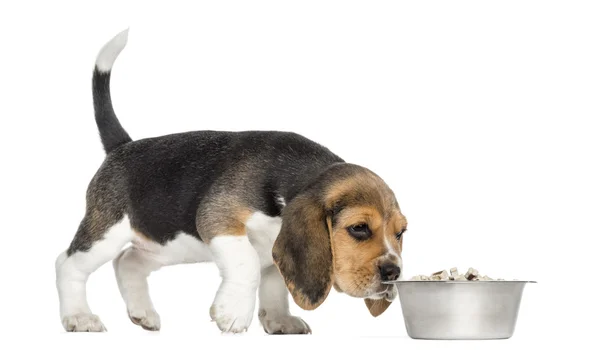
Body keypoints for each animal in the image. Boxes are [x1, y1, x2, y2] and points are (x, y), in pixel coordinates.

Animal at [56, 29, 408, 334]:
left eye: (401, 232)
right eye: (358, 228)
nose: (394, 272)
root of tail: (122, 146)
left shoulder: (275, 252)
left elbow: (275, 284)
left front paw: (280, 320)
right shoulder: (218, 218)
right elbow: (247, 263)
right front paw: (234, 312)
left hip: (167, 244)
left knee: (128, 261)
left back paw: (142, 313)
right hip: (107, 233)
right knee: (68, 263)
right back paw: (79, 317)